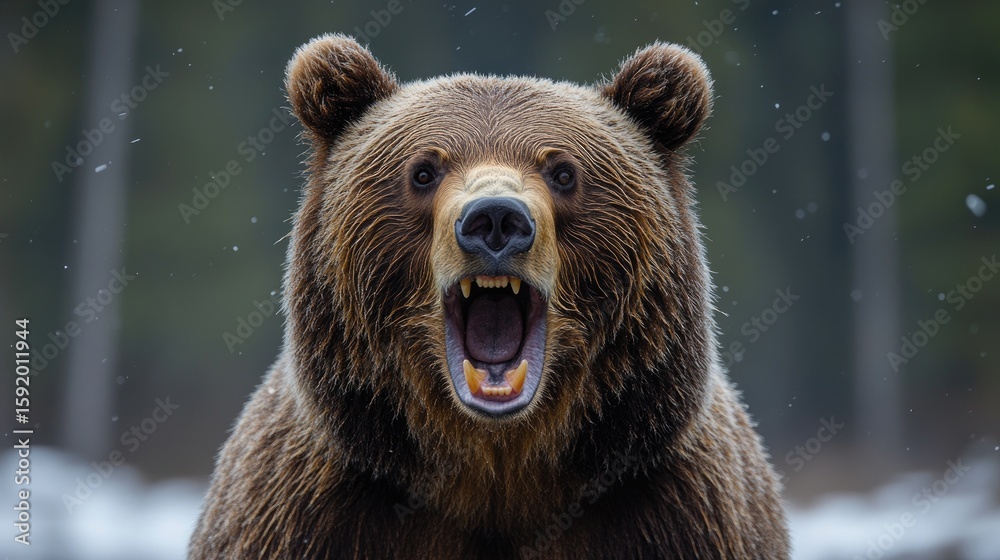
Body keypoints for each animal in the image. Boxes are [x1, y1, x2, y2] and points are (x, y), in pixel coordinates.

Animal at [189, 34, 789, 559]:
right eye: (423, 171)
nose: (496, 219)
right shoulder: (317, 515)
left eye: (564, 171)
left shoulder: (668, 512)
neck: (497, 474)